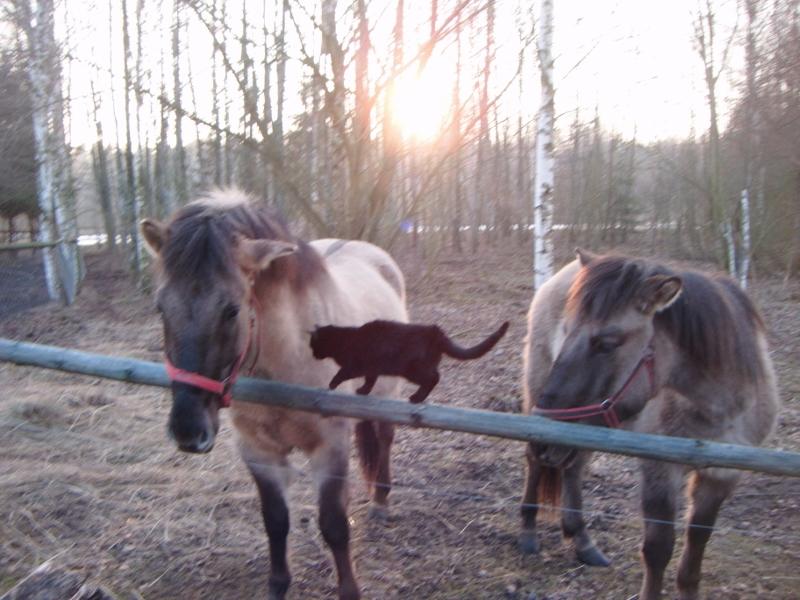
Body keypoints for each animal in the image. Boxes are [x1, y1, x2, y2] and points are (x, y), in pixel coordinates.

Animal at [139, 189, 406, 600]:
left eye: (232, 310)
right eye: (160, 307)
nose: (188, 431)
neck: (287, 360)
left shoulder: (330, 447)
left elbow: (334, 525)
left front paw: (349, 590)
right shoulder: (258, 452)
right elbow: (276, 522)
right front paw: (278, 585)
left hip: (387, 396)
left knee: (385, 439)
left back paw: (380, 502)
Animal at [310, 318, 510, 404]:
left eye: (313, 345)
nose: (312, 354)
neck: (344, 339)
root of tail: (435, 332)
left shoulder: (354, 366)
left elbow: (341, 373)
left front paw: (331, 385)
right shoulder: (372, 368)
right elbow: (370, 380)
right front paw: (363, 391)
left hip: (412, 369)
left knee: (434, 378)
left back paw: (416, 398)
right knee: (435, 375)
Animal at [520, 248, 780, 600]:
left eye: (607, 343)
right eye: (567, 330)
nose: (544, 436)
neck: (720, 405)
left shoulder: (721, 476)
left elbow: (695, 550)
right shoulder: (659, 471)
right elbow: (658, 550)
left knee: (574, 467)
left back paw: (583, 542)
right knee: (537, 464)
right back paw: (528, 531)